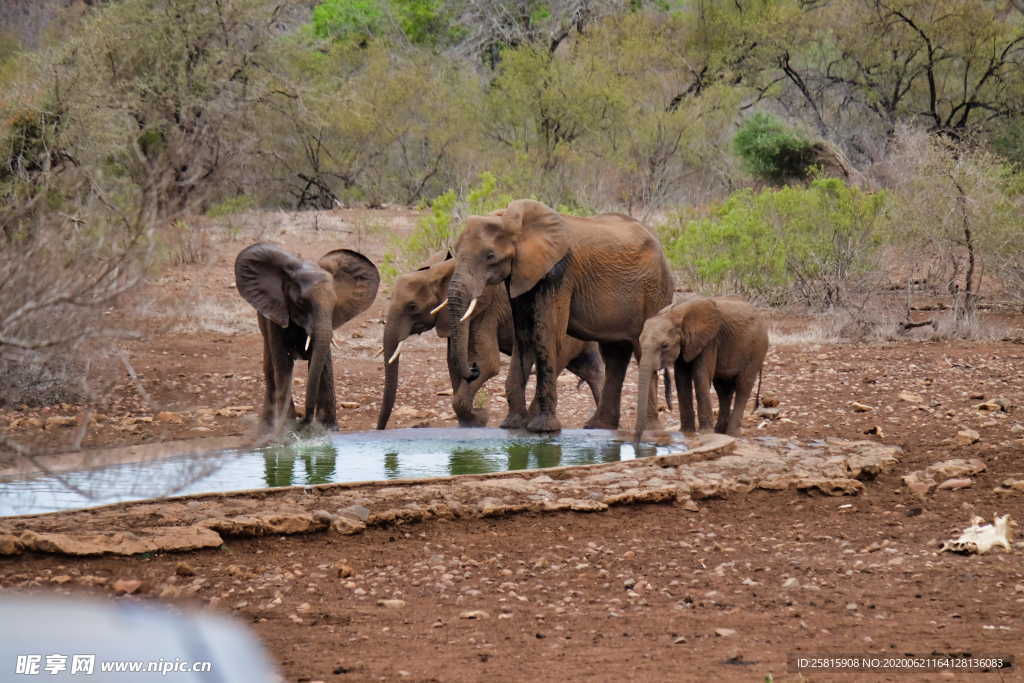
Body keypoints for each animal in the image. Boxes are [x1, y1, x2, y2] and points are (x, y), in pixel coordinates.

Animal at [234, 241, 380, 432]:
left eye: (335, 303)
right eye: (301, 302)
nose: (303, 420)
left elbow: (323, 363)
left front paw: (328, 429)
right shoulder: (276, 314)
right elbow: (283, 364)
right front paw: (287, 428)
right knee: (270, 367)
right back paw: (268, 428)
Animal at [376, 253, 602, 430]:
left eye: (412, 306)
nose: (380, 429)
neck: (440, 270)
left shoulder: (488, 308)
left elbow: (488, 362)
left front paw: (480, 419)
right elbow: (453, 362)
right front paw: (470, 422)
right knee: (591, 371)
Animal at [446, 198, 671, 432]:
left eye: (490, 256)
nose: (473, 368)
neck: (516, 222)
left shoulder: (559, 273)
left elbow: (547, 334)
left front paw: (543, 428)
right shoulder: (522, 275)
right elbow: (524, 336)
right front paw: (512, 425)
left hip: (654, 292)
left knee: (642, 350)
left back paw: (649, 430)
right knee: (614, 355)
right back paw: (599, 426)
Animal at [630, 296, 770, 440]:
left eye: (664, 346)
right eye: (640, 341)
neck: (674, 315)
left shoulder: (710, 341)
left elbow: (700, 375)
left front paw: (705, 433)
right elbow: (681, 378)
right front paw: (686, 432)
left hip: (757, 349)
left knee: (743, 385)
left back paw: (732, 434)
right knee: (723, 389)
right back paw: (720, 432)